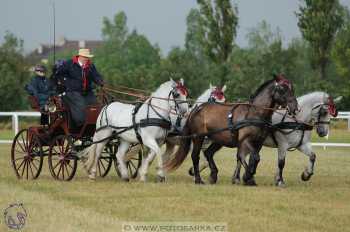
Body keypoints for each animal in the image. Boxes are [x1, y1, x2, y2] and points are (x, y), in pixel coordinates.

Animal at [165, 73, 296, 186]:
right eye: (282, 89)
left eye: (292, 88)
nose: (294, 107)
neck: (255, 113)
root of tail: (197, 109)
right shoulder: (245, 140)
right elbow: (249, 157)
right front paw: (247, 176)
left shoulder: (259, 142)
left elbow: (252, 158)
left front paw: (248, 178)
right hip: (198, 137)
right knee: (195, 156)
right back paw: (198, 179)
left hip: (218, 140)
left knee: (208, 153)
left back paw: (213, 175)